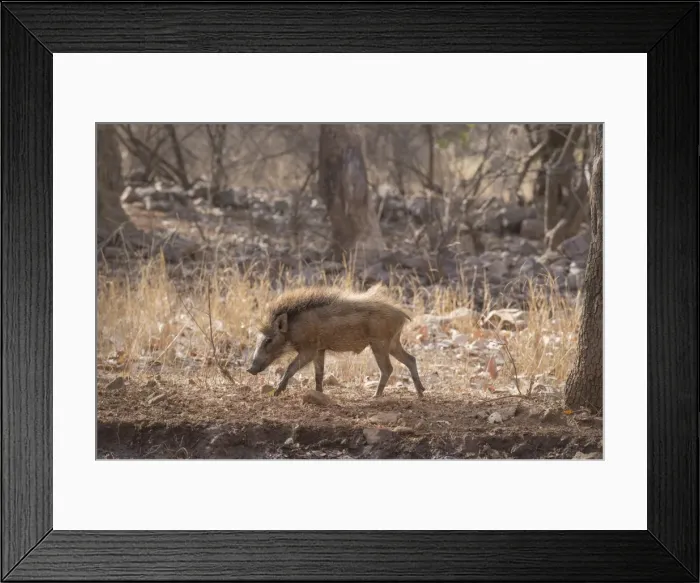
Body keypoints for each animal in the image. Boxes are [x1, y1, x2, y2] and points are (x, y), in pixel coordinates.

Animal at [246, 284, 426, 398]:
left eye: (269, 339)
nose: (250, 369)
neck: (293, 328)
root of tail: (401, 314)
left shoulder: (309, 350)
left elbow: (290, 368)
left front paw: (276, 393)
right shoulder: (320, 350)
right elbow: (319, 374)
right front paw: (319, 394)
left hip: (380, 344)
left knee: (388, 368)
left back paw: (375, 396)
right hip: (393, 344)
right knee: (411, 359)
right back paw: (420, 393)